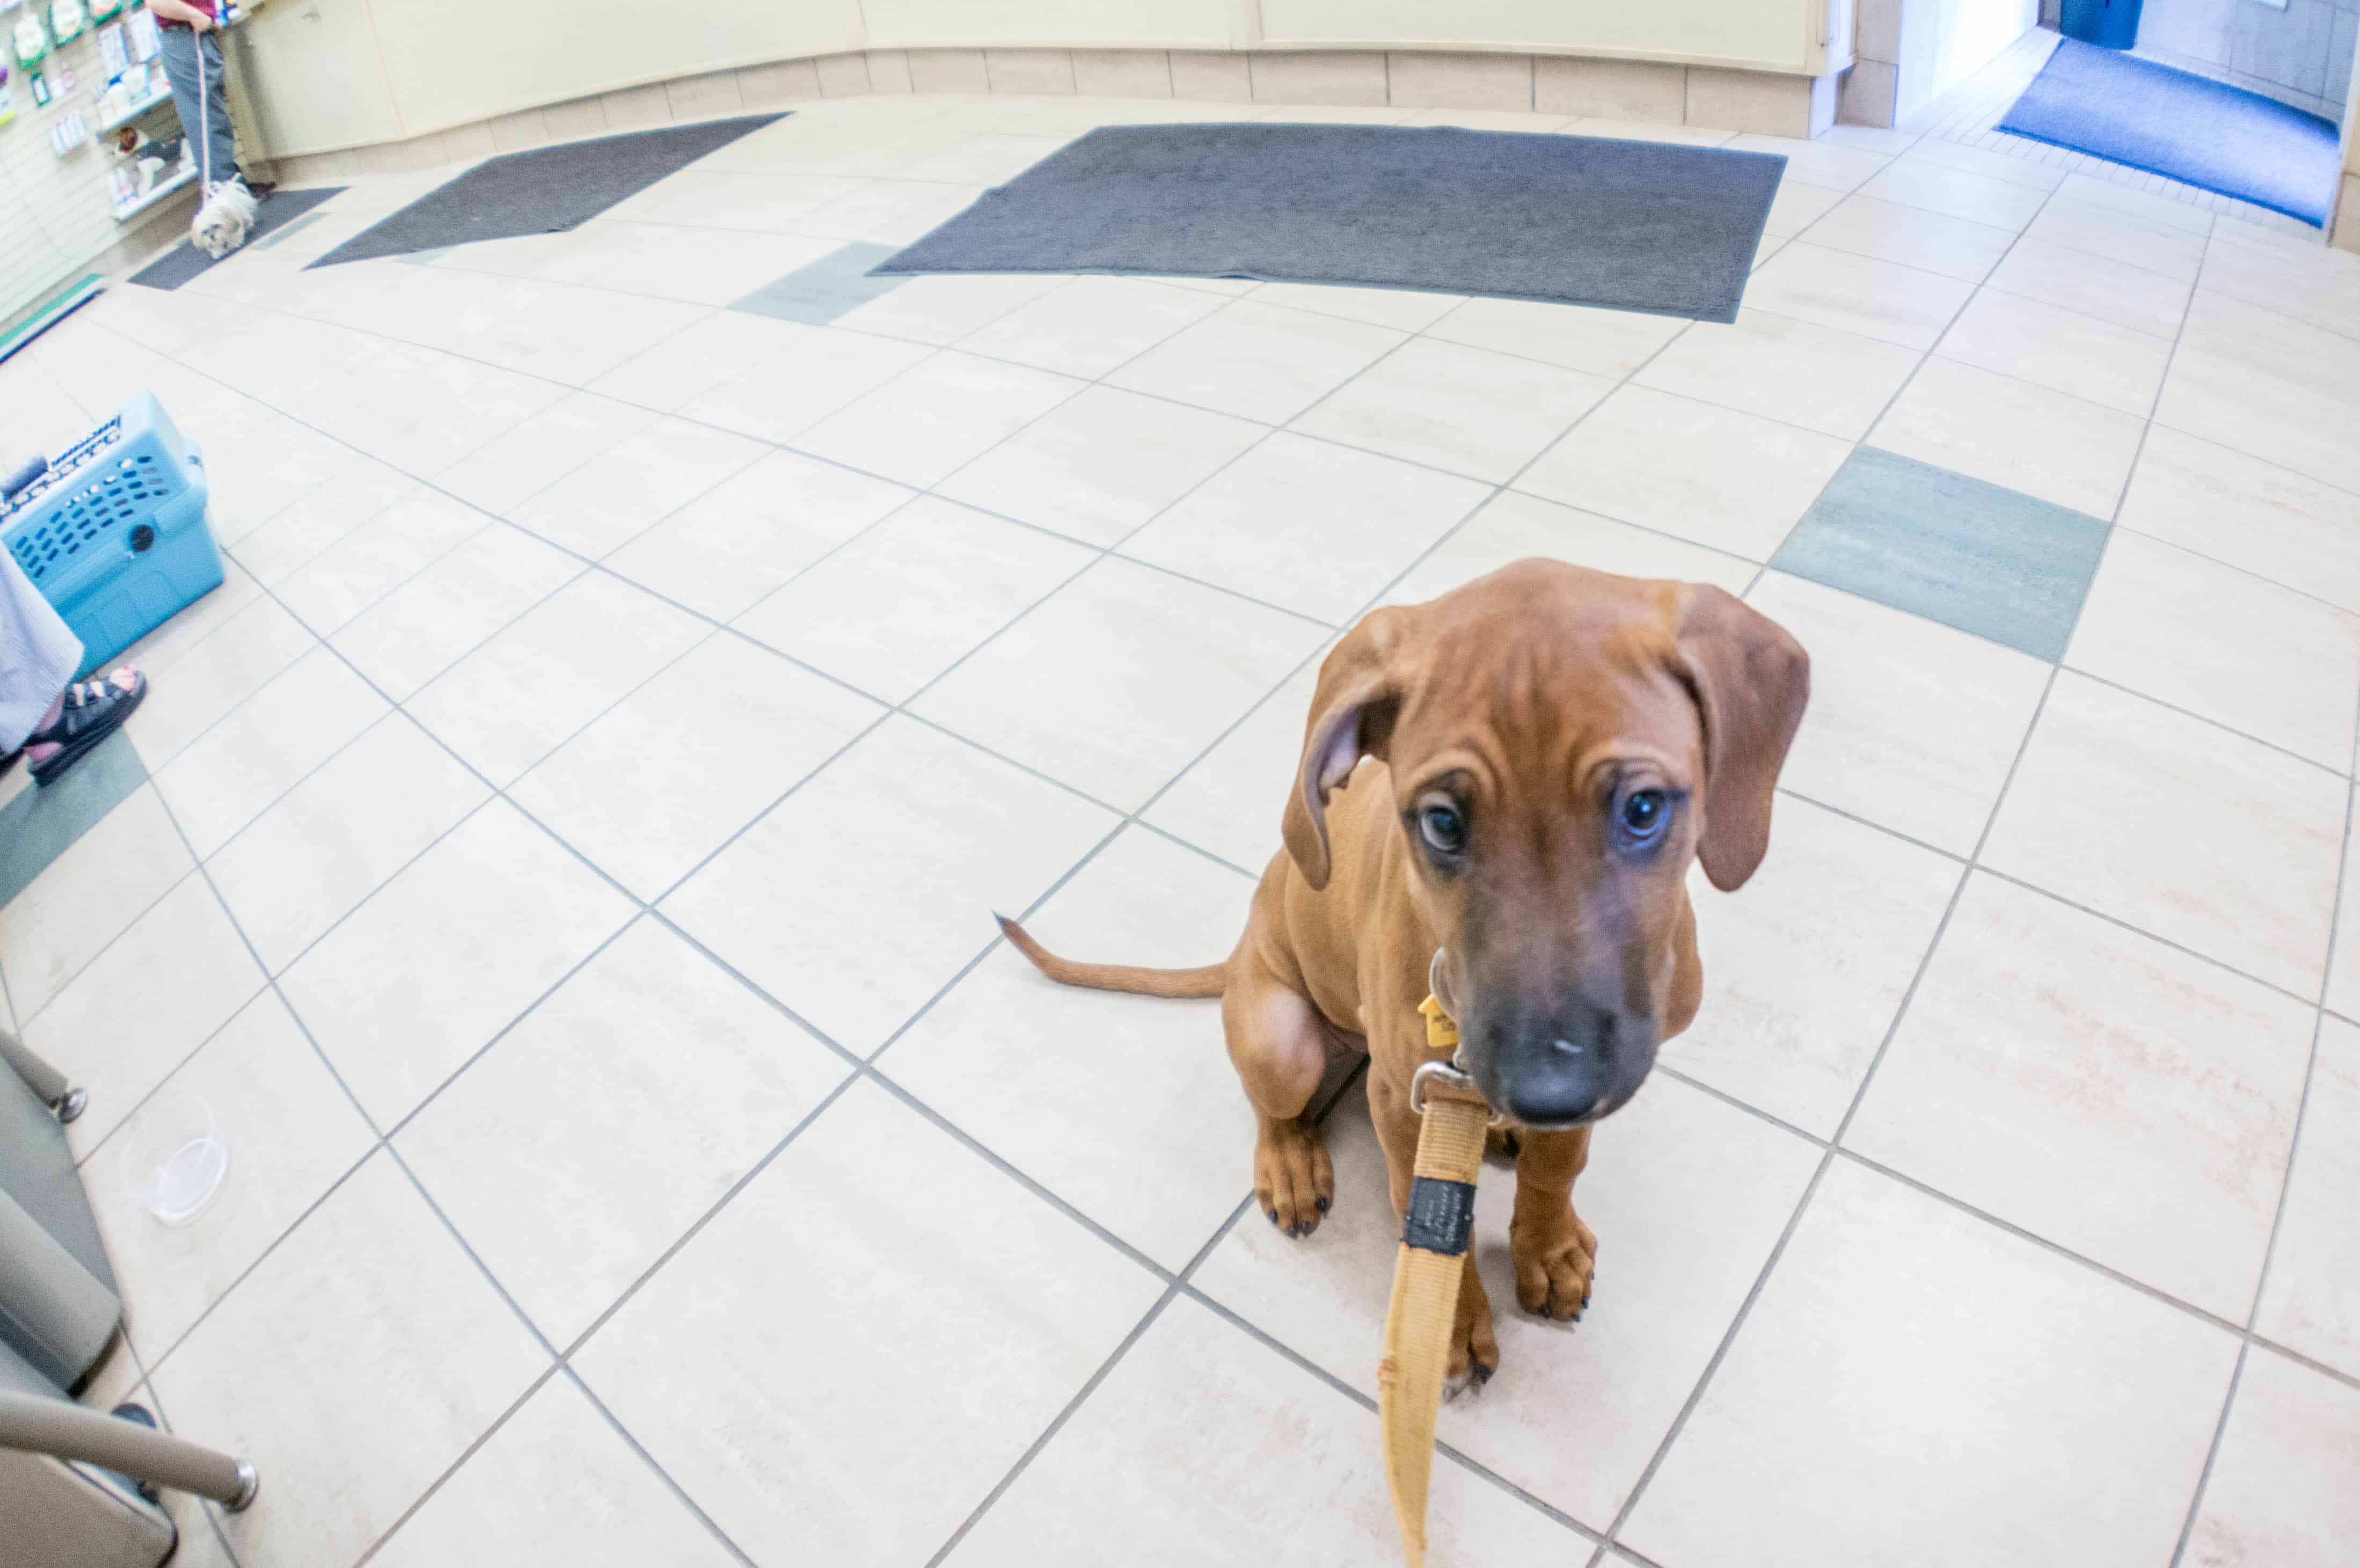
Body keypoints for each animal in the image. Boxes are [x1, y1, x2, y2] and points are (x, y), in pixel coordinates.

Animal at [189, 181, 259, 262]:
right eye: (205, 232)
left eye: (216, 226)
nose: (212, 236)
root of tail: (225, 191)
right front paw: (218, 252)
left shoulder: (233, 225)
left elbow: (234, 236)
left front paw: (234, 243)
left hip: (244, 213)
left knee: (248, 220)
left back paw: (249, 226)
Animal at [1000, 556, 1803, 1377]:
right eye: (1442, 822)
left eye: (1643, 809)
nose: (1545, 1090)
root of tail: (1237, 952)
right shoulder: (1402, 1099)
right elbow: (1425, 1216)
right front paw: (1449, 1326)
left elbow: (1559, 1164)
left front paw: (1547, 1247)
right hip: (1284, 1040)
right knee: (1273, 1103)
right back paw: (1291, 1162)